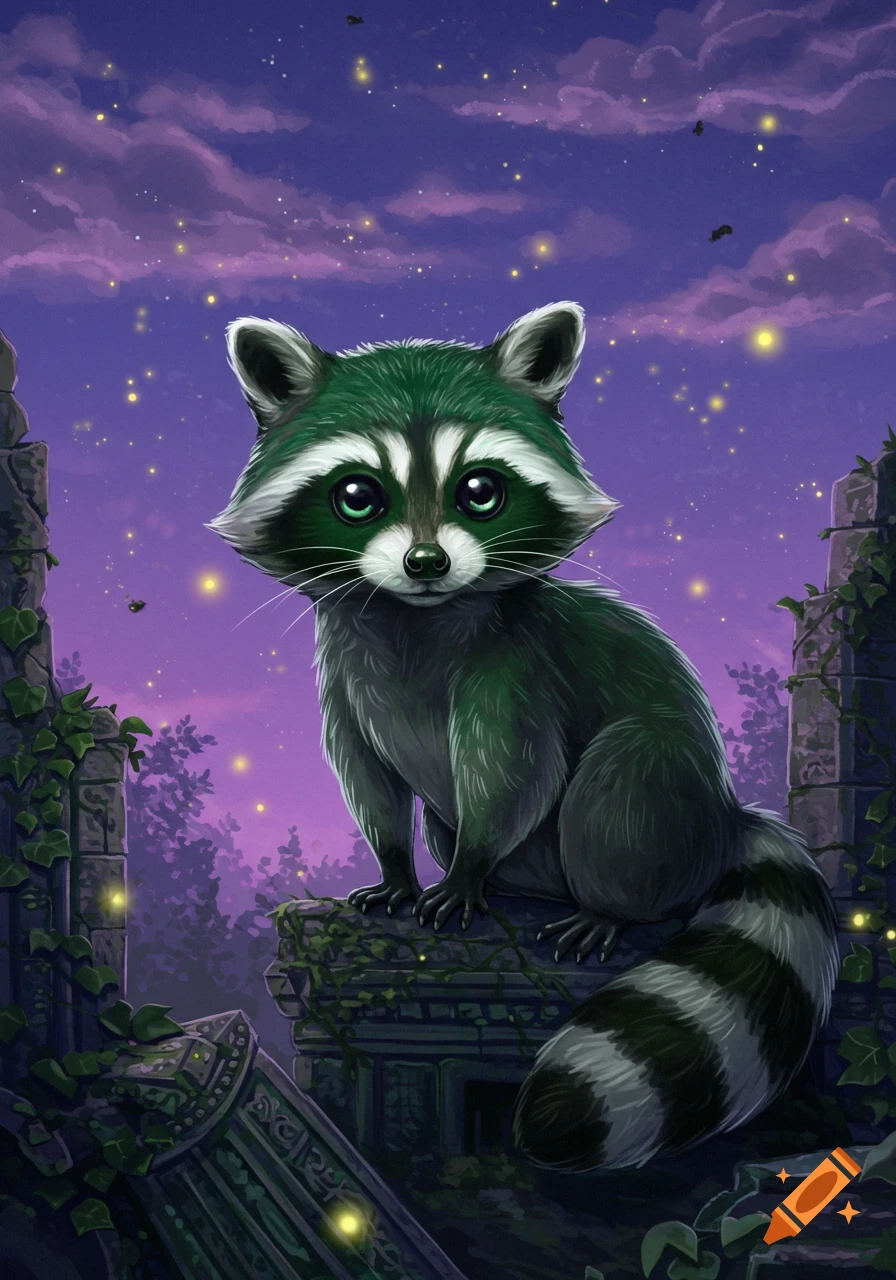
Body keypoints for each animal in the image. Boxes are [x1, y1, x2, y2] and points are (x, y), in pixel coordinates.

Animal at [207, 301, 839, 1172]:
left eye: (479, 490)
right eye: (358, 495)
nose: (426, 562)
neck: (415, 615)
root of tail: (724, 816)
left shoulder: (518, 664)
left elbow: (515, 770)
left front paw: (471, 867)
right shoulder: (343, 668)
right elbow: (366, 772)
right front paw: (395, 865)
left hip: (666, 801)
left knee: (622, 777)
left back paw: (607, 903)